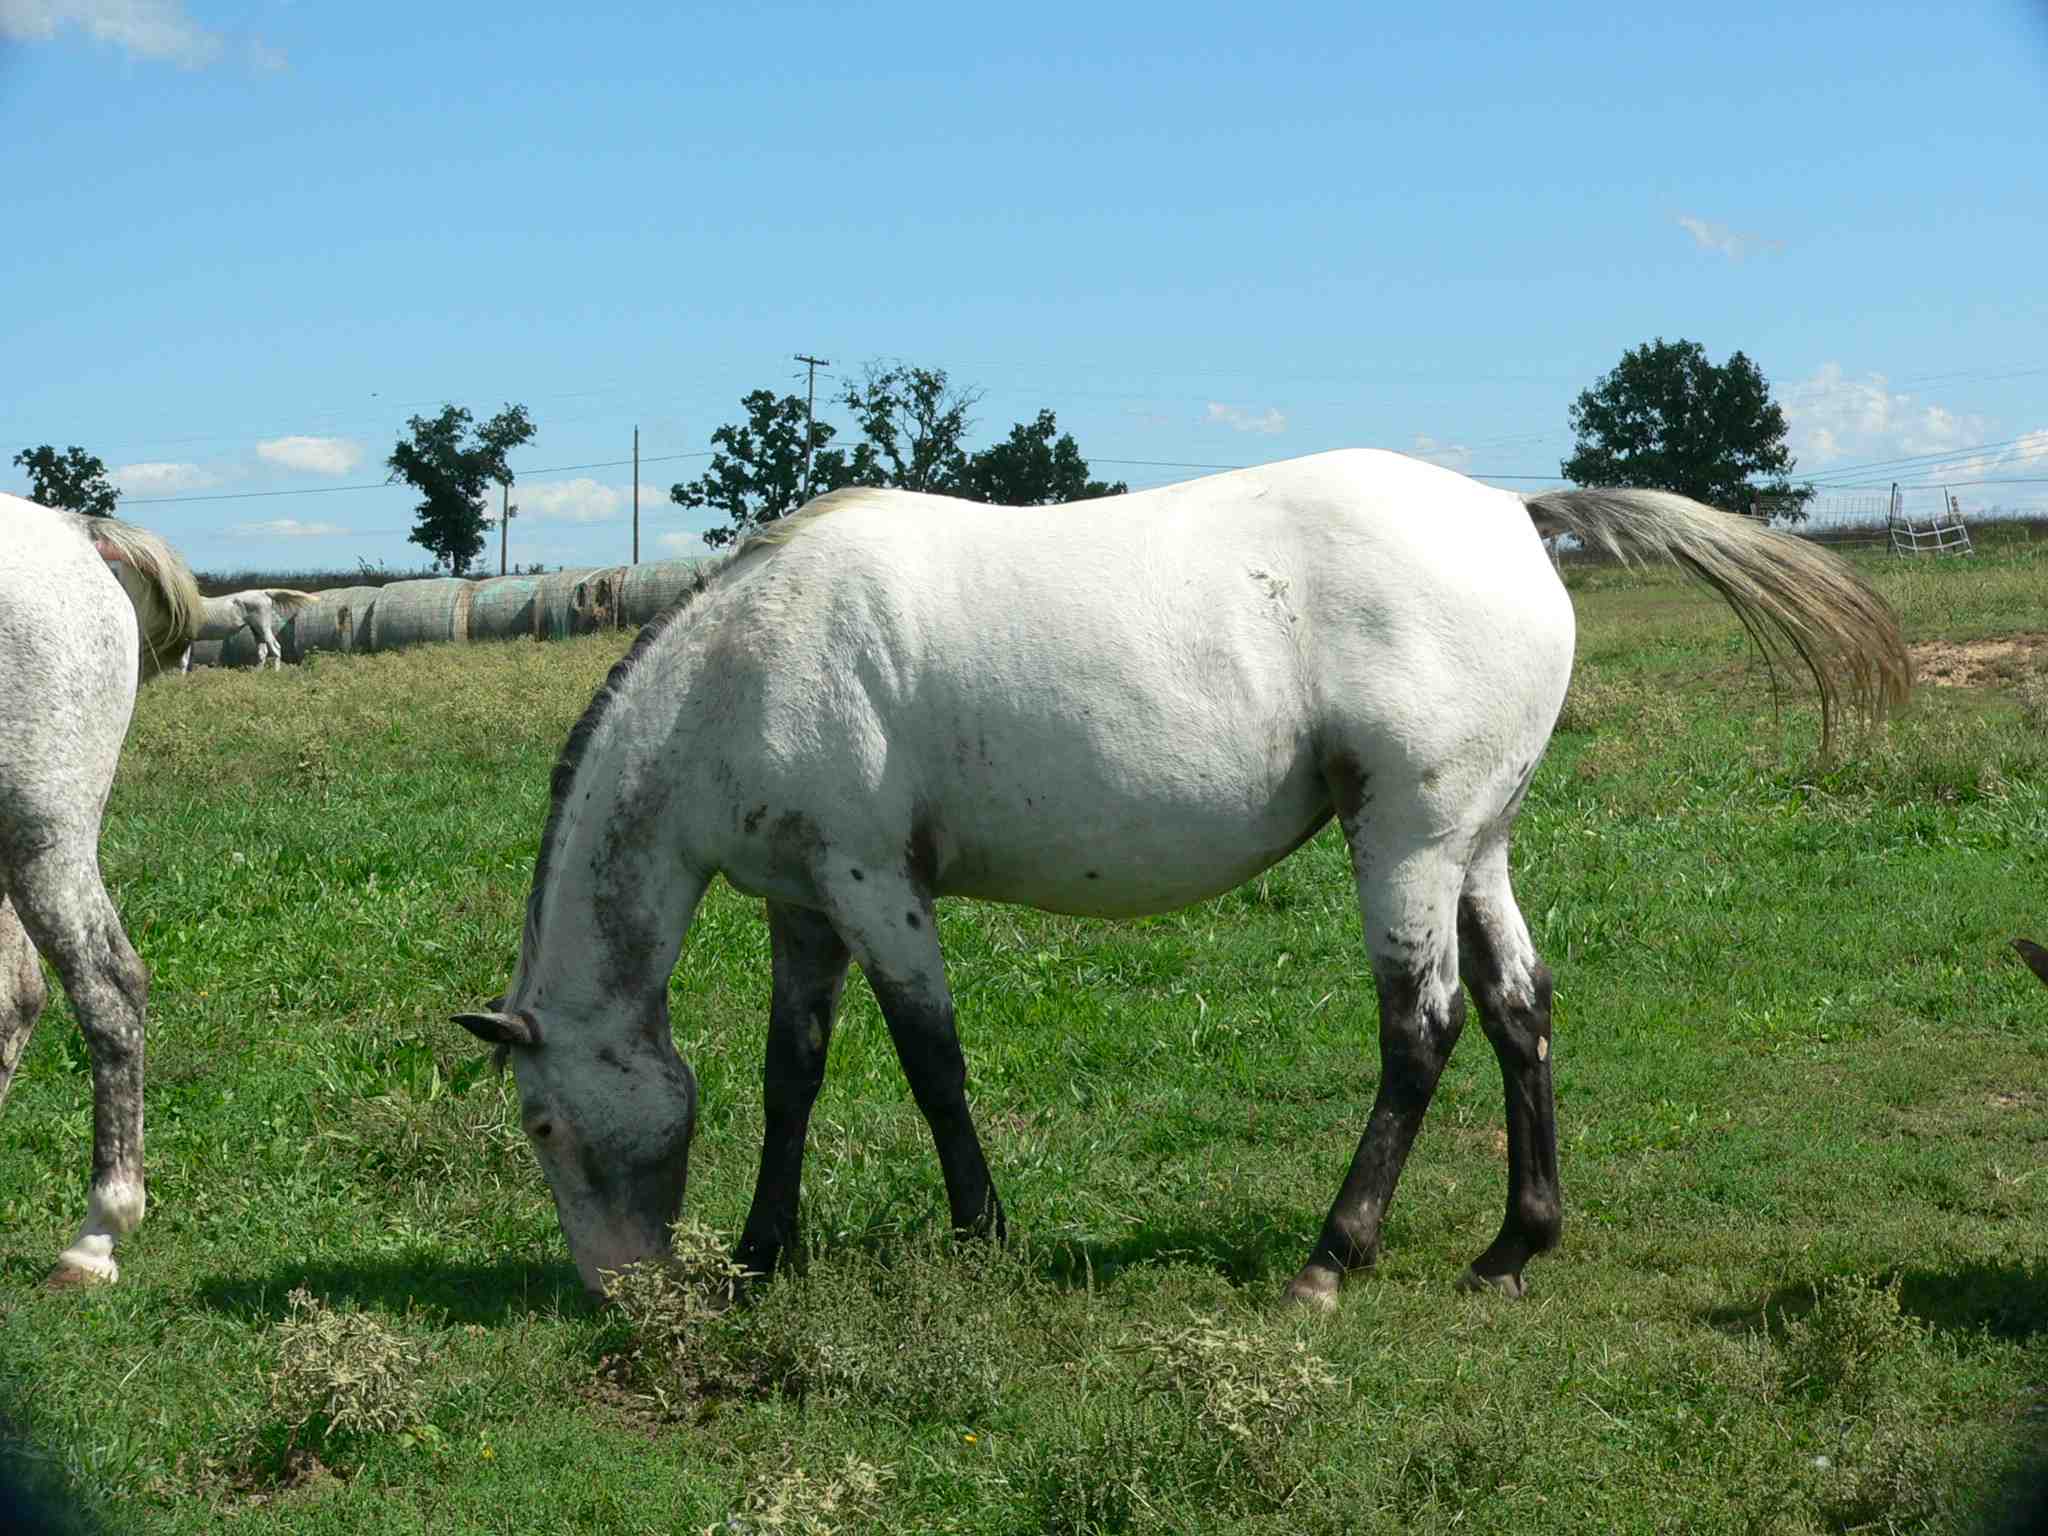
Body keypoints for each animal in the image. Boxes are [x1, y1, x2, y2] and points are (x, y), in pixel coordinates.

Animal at [179, 588, 320, 672]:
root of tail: (264, 592)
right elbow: (187, 661)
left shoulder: (185, 639)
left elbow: (183, 661)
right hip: (256, 630)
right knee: (263, 652)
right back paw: (257, 673)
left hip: (263, 627)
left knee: (276, 647)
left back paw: (275, 672)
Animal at [454, 449, 1910, 1305]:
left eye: (541, 1128)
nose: (622, 1293)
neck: (747, 660)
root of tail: (1513, 512)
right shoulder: (804, 906)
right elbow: (789, 1077)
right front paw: (764, 1253)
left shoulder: (875, 887)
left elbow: (932, 1064)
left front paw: (982, 1240)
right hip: (1474, 844)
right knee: (1518, 1013)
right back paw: (1513, 1247)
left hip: (1405, 842)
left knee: (1422, 1029)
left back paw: (1331, 1261)